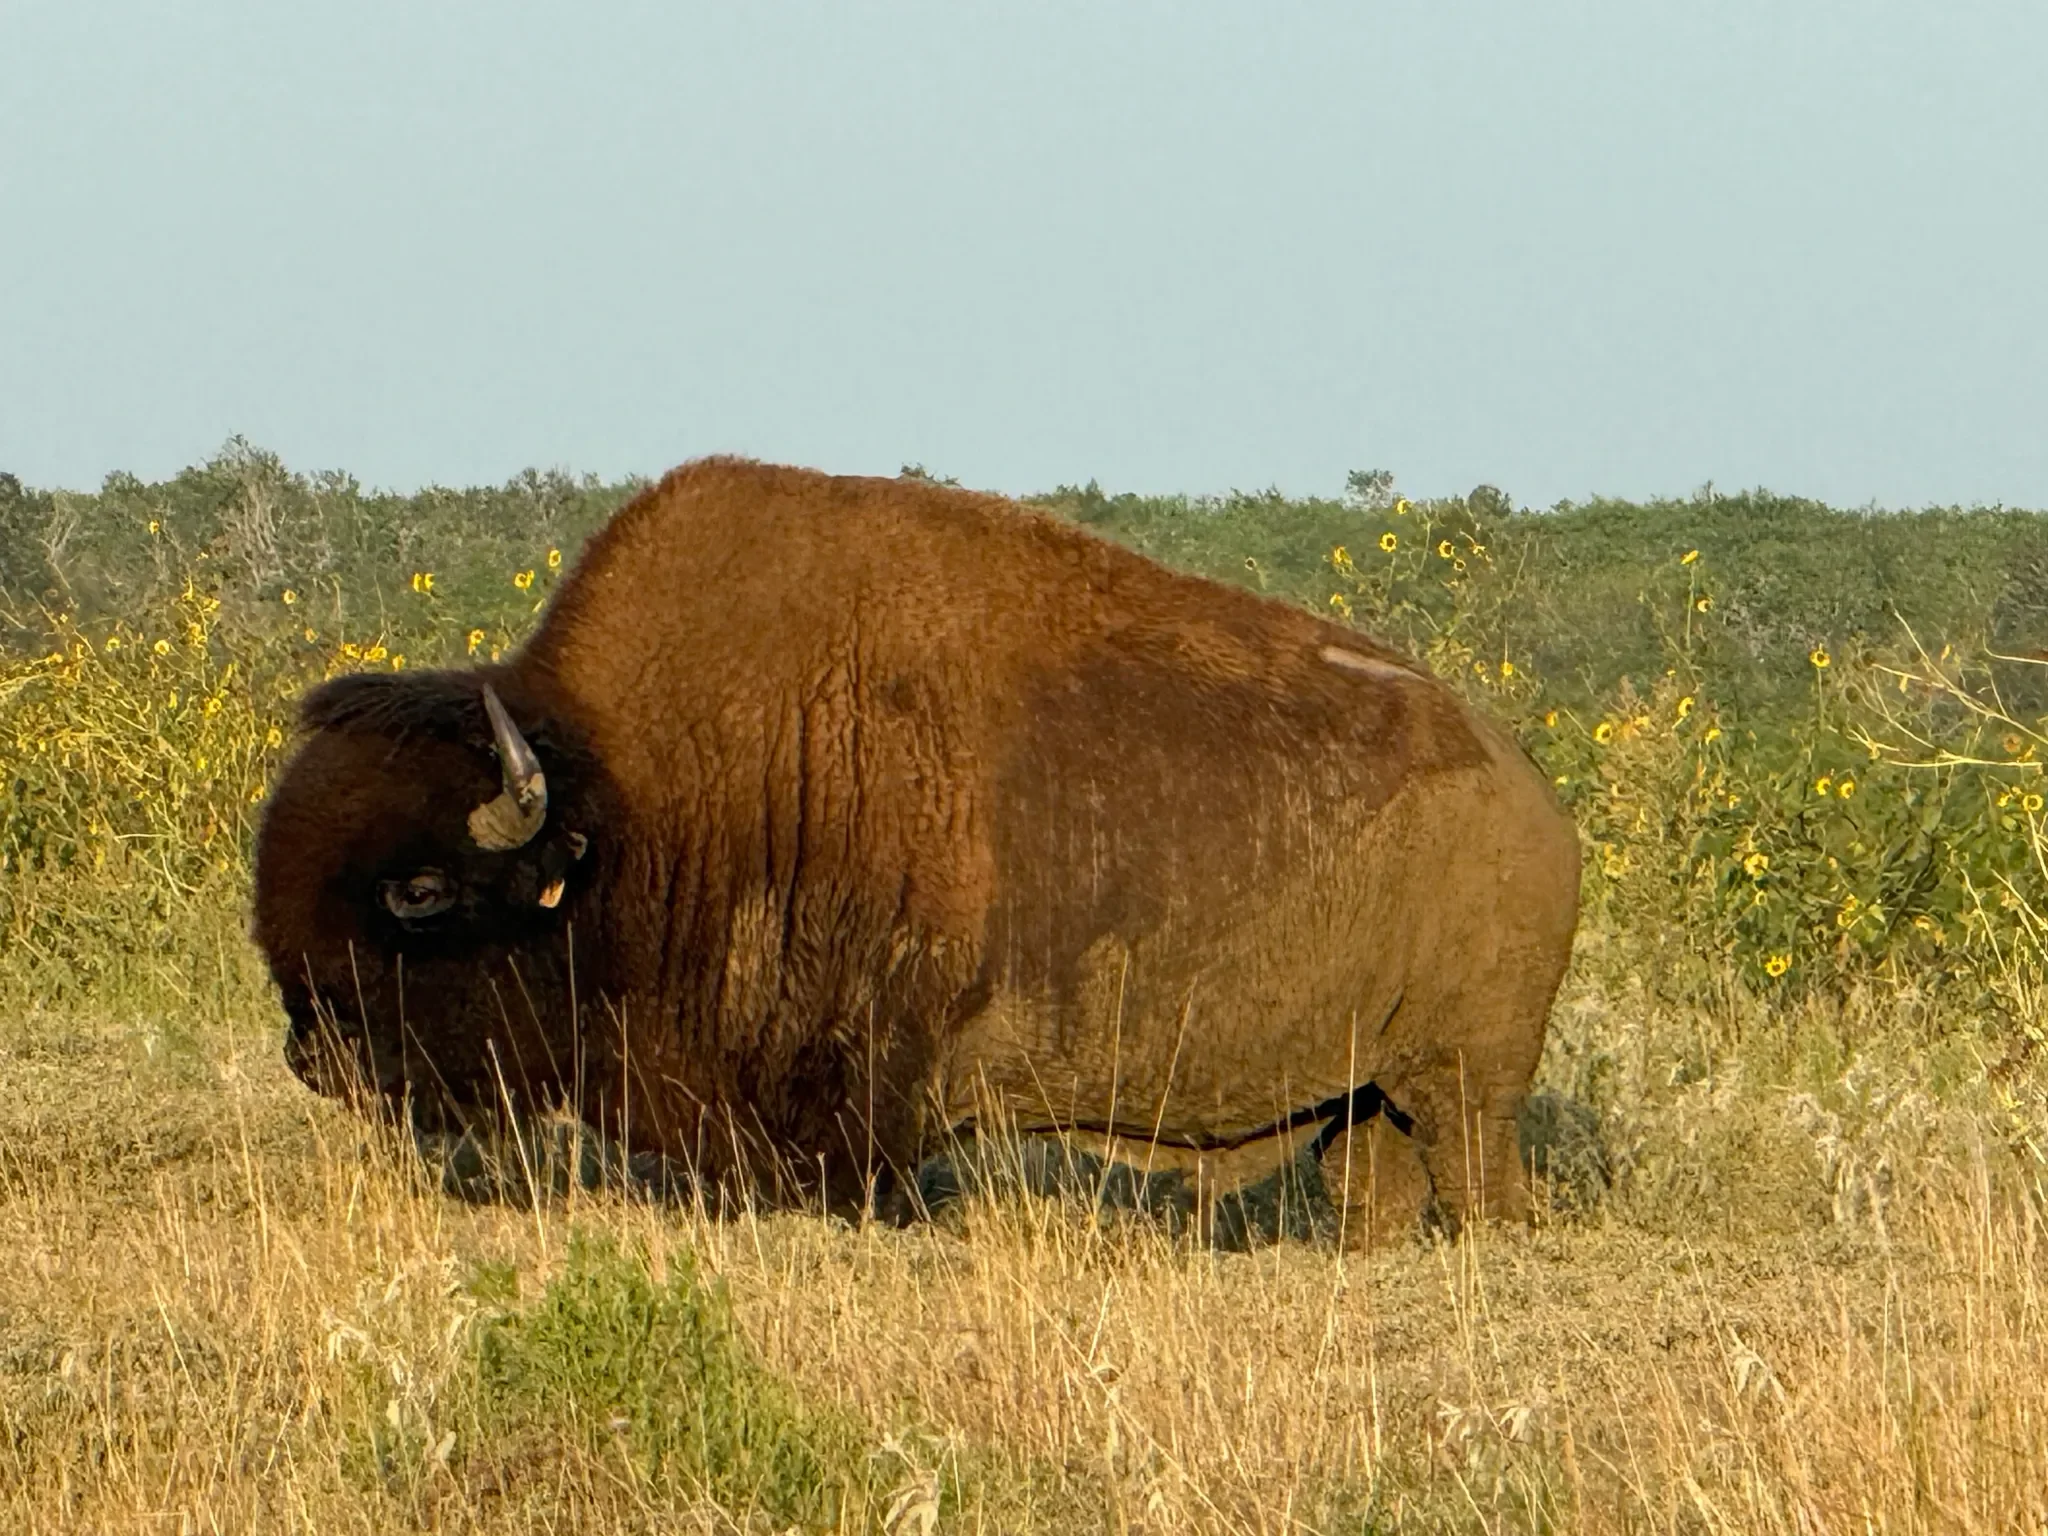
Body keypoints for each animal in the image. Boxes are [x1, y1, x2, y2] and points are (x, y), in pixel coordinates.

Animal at [253, 459, 1580, 1242]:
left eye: (419, 889)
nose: (313, 1057)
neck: (630, 802)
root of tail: (1527, 793)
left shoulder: (856, 1092)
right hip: (1363, 1092)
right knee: (1371, 1184)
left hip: (1459, 1082)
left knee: (1475, 1174)